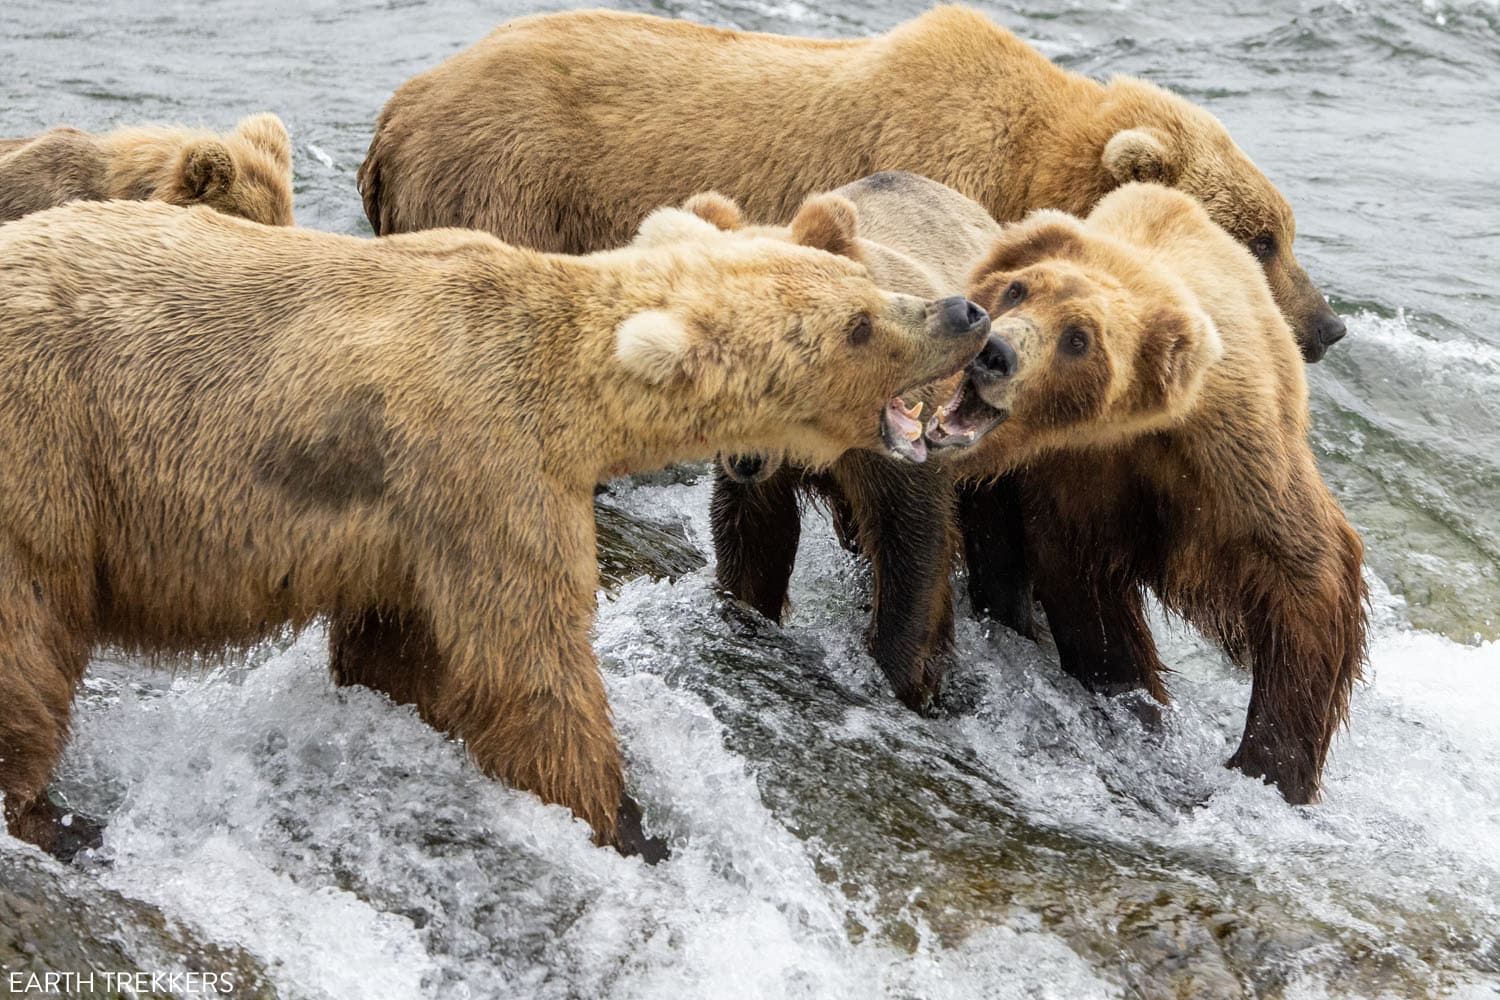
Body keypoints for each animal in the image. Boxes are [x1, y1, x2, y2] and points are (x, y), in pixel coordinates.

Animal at [0, 200, 996, 863]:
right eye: (858, 325)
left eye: (866, 282)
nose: (966, 312)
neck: (577, 399)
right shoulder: (484, 465)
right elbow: (528, 664)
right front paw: (626, 823)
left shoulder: (402, 524)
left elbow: (399, 644)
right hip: (45, 458)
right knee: (28, 643)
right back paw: (58, 819)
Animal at [357, 2, 1344, 364]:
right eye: (1262, 239)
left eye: (1286, 231)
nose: (1327, 326)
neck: (1034, 159)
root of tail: (399, 109)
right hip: (506, 176)